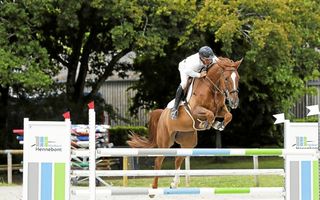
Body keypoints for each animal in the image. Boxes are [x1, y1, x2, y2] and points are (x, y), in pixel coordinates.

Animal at [126, 57, 241, 188]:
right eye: (226, 78)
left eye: (238, 78)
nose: (234, 102)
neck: (212, 88)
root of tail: (162, 114)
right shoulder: (195, 109)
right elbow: (210, 115)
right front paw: (207, 124)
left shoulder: (220, 109)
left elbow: (228, 116)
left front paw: (218, 125)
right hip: (165, 141)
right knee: (158, 160)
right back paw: (154, 187)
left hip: (188, 141)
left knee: (178, 159)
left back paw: (174, 184)